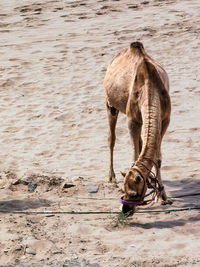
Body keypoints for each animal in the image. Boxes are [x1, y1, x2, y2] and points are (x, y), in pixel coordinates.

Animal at [103, 41, 172, 214]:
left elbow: (158, 158)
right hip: (109, 104)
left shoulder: (165, 119)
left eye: (134, 193)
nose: (125, 208)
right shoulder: (132, 119)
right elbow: (135, 156)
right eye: (123, 189)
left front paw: (163, 197)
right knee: (111, 138)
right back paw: (110, 177)